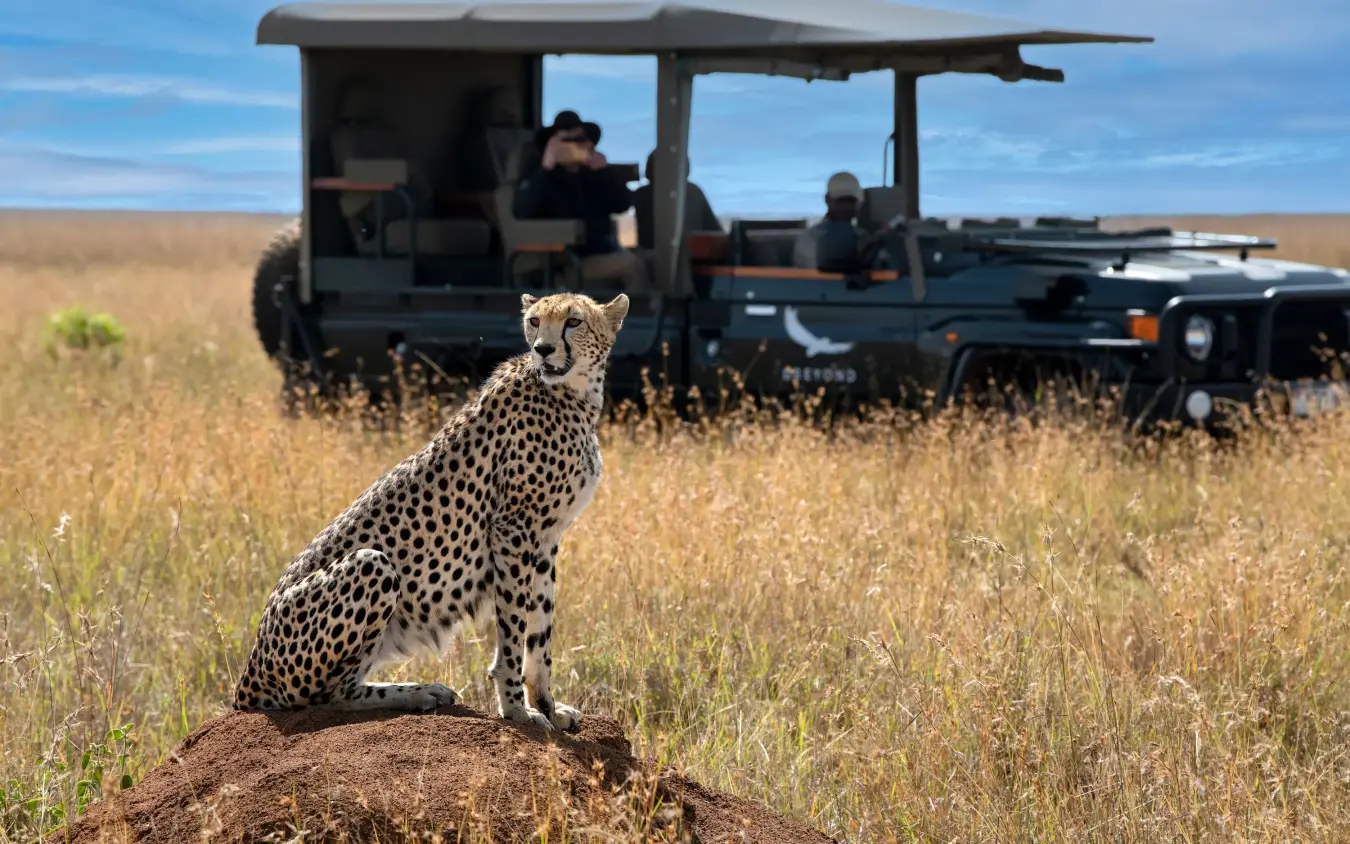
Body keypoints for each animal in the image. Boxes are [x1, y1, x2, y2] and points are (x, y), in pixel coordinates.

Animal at [231, 291, 630, 732]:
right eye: (534, 321)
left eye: (574, 321)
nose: (542, 349)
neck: (572, 393)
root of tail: (247, 676)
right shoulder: (512, 530)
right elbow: (513, 628)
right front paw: (515, 710)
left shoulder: (545, 538)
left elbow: (540, 630)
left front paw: (547, 706)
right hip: (371, 564)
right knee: (327, 694)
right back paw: (418, 692)